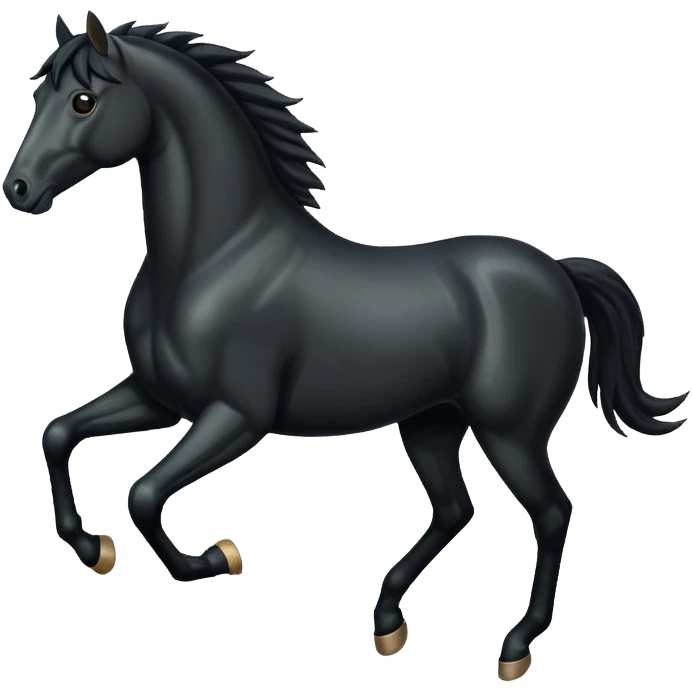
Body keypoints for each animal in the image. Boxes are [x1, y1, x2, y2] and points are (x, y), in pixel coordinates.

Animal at [7, 13, 688, 681]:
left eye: (84, 101)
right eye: (38, 96)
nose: (18, 190)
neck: (215, 259)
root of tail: (559, 271)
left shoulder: (237, 416)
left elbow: (144, 494)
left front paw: (218, 557)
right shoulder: (158, 397)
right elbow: (59, 434)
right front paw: (93, 548)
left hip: (510, 431)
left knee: (549, 512)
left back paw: (515, 647)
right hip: (431, 422)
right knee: (453, 510)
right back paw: (388, 622)